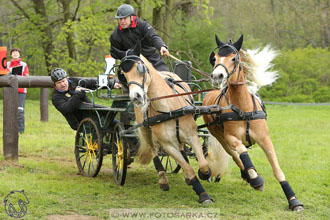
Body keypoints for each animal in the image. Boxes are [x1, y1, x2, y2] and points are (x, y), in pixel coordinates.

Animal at [111, 40, 222, 204]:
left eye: (140, 68)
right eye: (123, 75)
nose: (136, 97)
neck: (168, 108)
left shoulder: (192, 135)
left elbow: (202, 163)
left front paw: (205, 174)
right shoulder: (168, 145)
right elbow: (188, 168)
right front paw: (203, 194)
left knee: (182, 149)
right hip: (145, 131)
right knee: (154, 151)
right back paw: (163, 179)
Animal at [204, 34, 304, 211]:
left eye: (234, 58)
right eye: (214, 58)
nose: (217, 77)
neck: (243, 109)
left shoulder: (265, 139)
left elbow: (277, 169)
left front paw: (293, 200)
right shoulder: (230, 137)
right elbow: (242, 151)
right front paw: (255, 179)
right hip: (220, 138)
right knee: (234, 155)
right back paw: (250, 176)